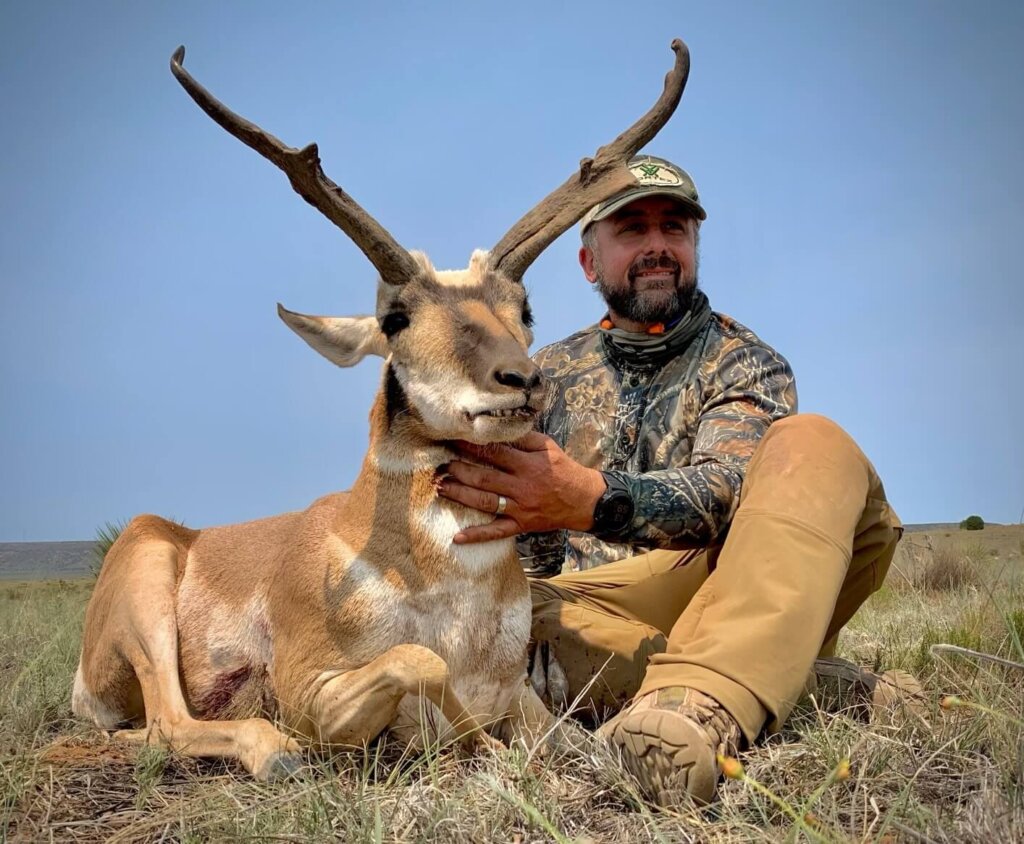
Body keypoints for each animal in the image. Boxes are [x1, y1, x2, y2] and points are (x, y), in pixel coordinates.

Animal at [71, 40, 690, 779]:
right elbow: (423, 664)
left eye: (524, 309)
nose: (522, 380)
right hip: (146, 576)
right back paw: (274, 753)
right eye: (394, 318)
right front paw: (473, 742)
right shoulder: (314, 689)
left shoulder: (522, 695)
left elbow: (571, 735)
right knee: (167, 722)